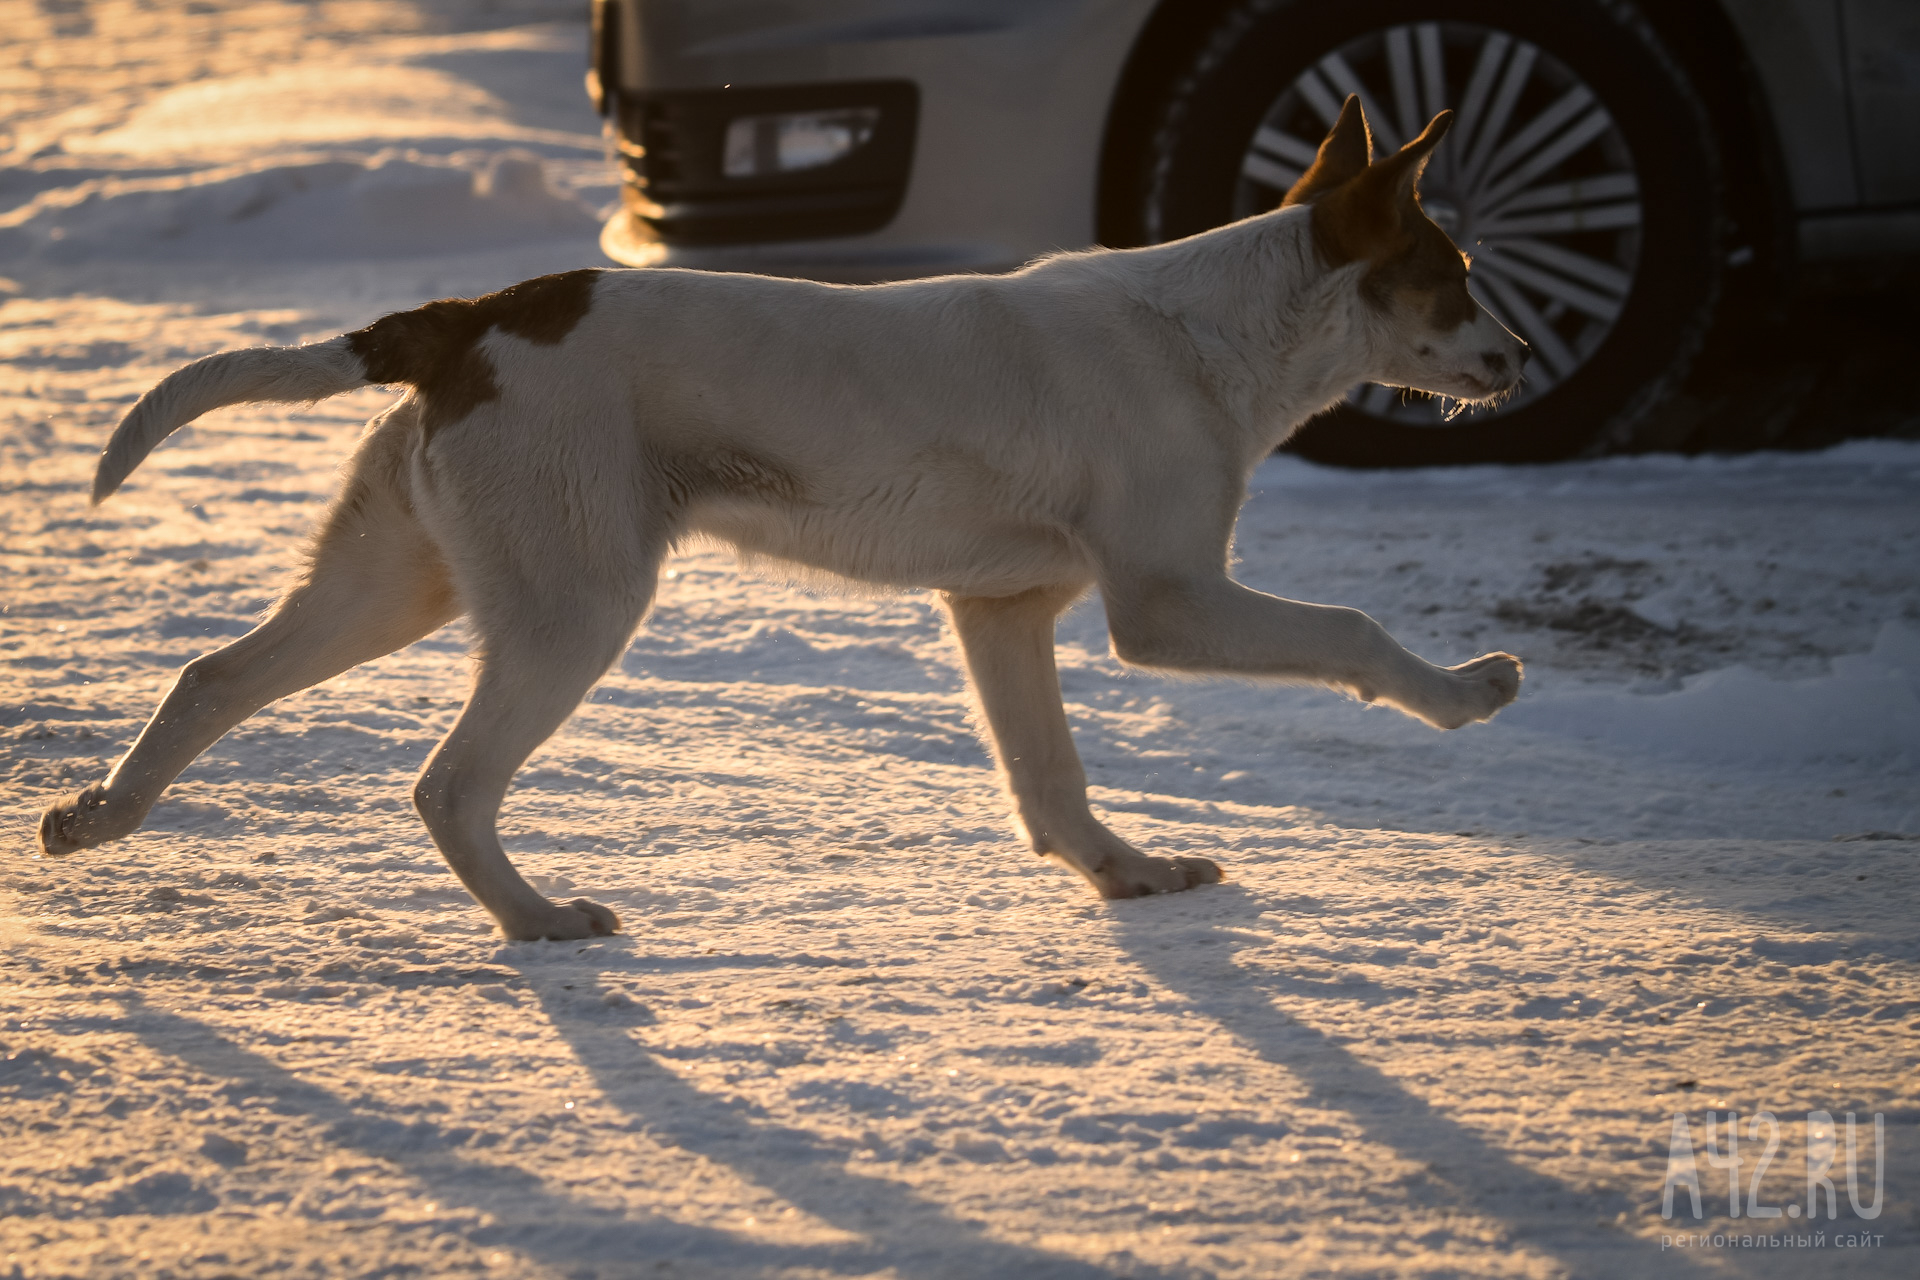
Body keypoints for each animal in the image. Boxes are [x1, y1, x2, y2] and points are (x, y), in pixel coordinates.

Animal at [33, 100, 1528, 940]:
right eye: (1453, 273)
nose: (1519, 360)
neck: (1216, 326)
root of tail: (474, 316)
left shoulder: (1002, 611)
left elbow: (1051, 782)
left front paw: (1124, 875)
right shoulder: (1165, 603)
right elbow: (1354, 629)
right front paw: (1465, 693)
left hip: (400, 582)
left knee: (213, 675)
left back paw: (104, 815)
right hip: (573, 602)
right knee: (448, 783)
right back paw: (535, 919)